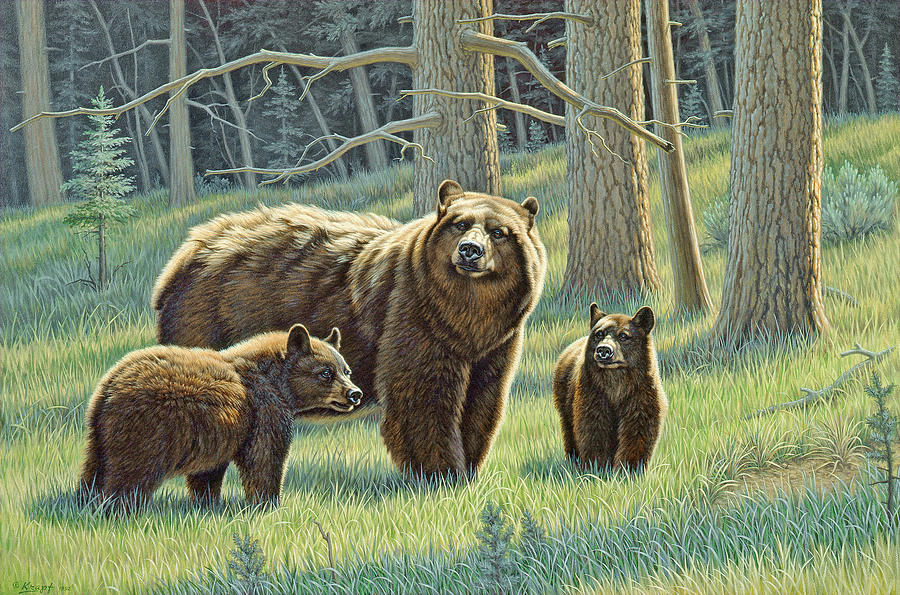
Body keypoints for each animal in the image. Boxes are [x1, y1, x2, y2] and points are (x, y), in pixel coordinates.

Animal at [78, 324, 361, 505]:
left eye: (346, 370)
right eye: (325, 372)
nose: (355, 394)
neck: (276, 380)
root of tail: (110, 385)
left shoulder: (218, 435)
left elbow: (208, 471)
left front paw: (207, 503)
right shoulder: (264, 409)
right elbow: (265, 457)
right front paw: (268, 504)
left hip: (100, 434)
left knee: (94, 468)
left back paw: (85, 501)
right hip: (145, 429)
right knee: (130, 473)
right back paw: (119, 508)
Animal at [151, 180, 547, 478]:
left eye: (499, 232)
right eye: (460, 224)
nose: (469, 251)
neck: (465, 314)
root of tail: (183, 254)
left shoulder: (496, 344)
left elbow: (482, 401)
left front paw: (468, 469)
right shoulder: (412, 315)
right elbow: (421, 397)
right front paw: (440, 474)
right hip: (204, 319)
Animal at [552, 304, 667, 473]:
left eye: (623, 336)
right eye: (599, 333)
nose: (604, 350)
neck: (616, 382)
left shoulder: (641, 393)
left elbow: (637, 429)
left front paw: (628, 469)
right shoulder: (593, 391)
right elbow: (593, 428)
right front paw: (597, 468)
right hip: (564, 396)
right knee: (568, 428)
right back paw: (574, 461)